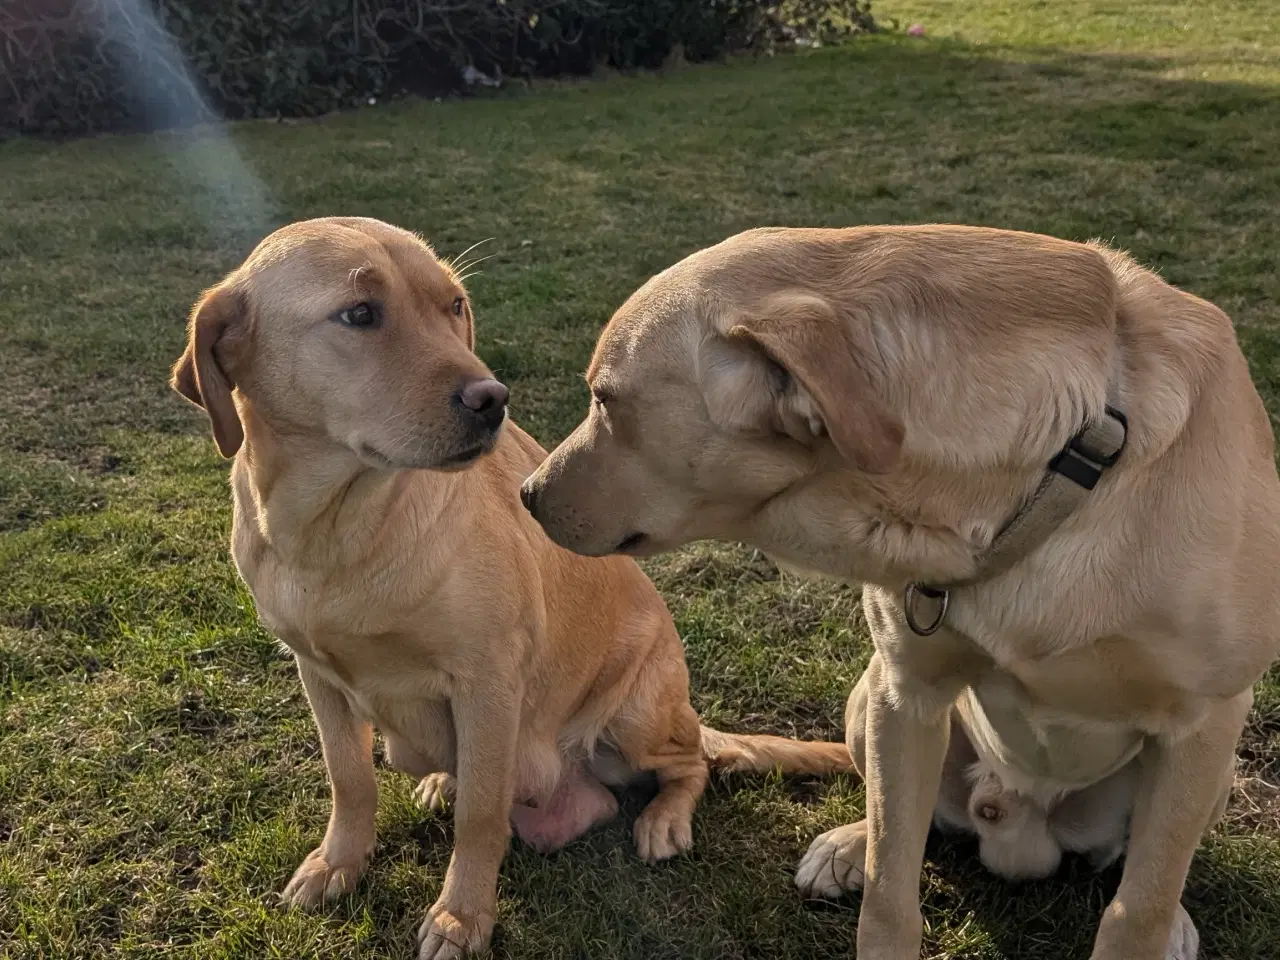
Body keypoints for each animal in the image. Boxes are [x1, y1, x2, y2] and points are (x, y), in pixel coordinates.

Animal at [167, 217, 849, 960]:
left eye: (454, 305)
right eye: (359, 314)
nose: (492, 399)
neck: (337, 531)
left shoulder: (487, 680)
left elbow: (481, 816)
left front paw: (461, 917)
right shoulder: (316, 674)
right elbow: (350, 780)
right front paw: (338, 863)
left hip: (636, 714)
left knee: (689, 760)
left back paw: (664, 819)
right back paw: (441, 778)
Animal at [522, 227, 1280, 960]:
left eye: (604, 399)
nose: (526, 493)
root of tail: (1014, 829)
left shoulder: (1200, 723)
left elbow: (1137, 909)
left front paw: (1155, 923)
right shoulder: (907, 693)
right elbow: (891, 886)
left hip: (1212, 771)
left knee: (1148, 866)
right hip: (870, 700)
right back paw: (847, 844)